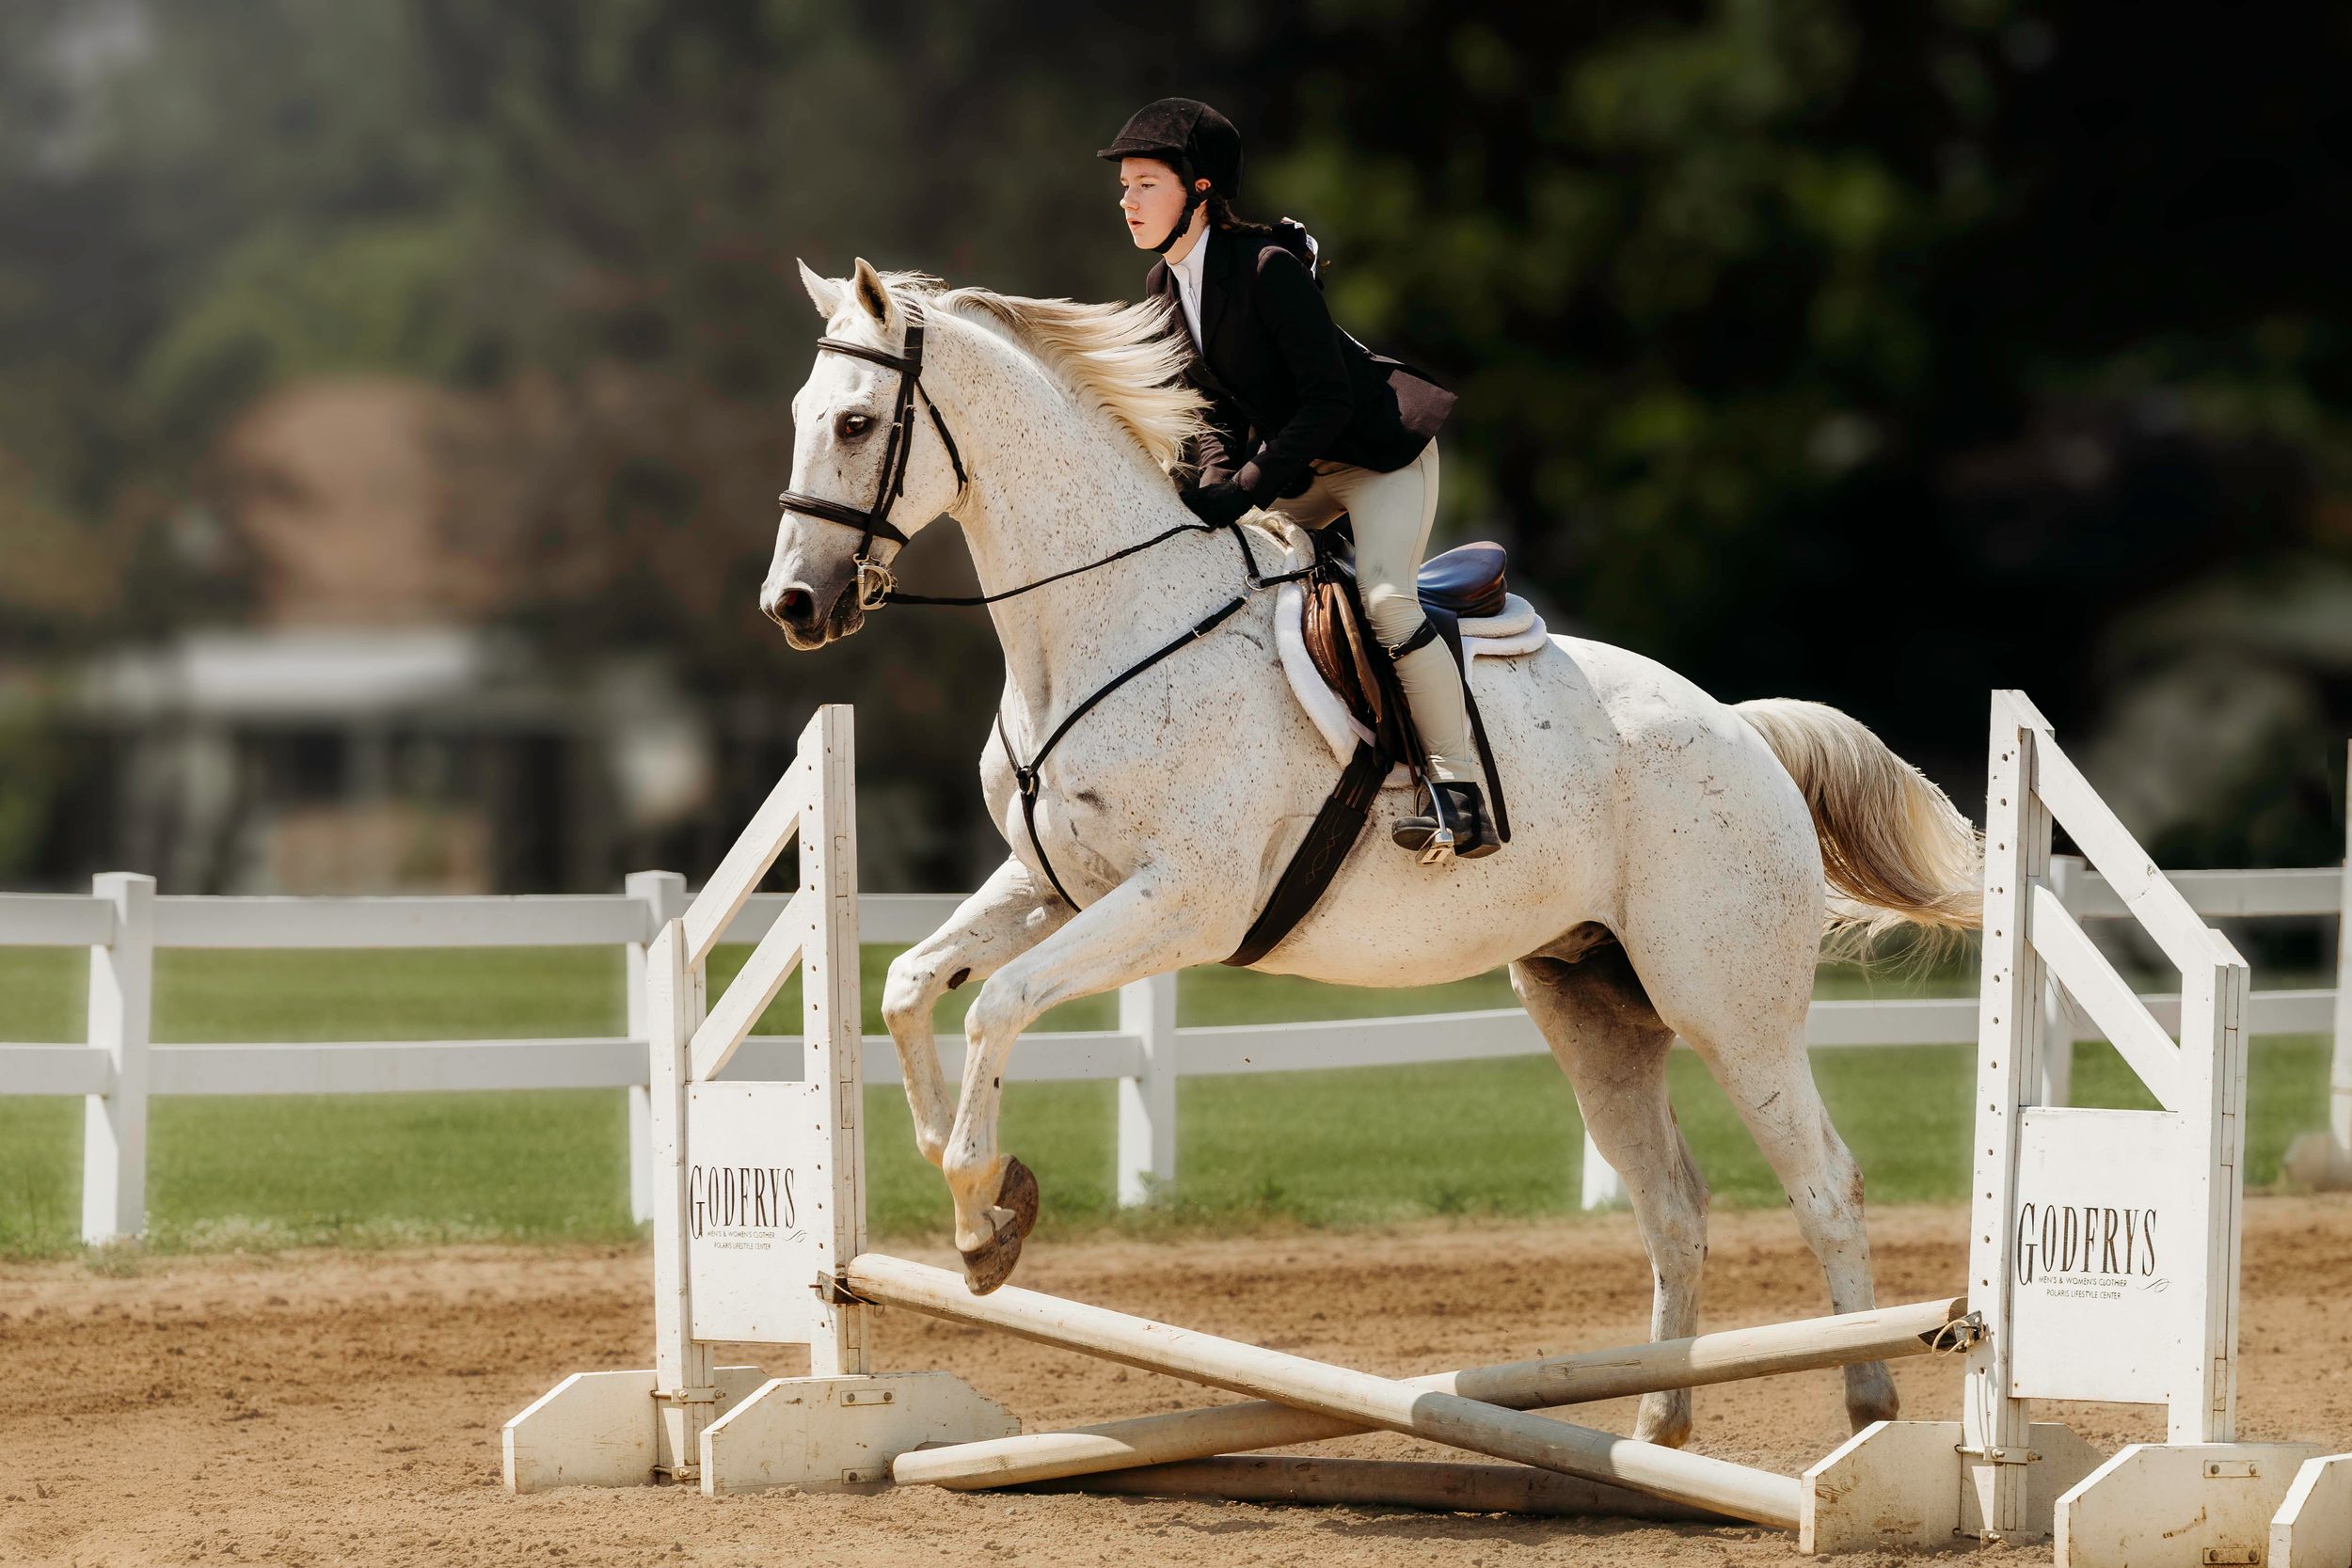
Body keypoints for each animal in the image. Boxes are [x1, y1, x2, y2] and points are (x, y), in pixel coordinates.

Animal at [761, 257, 1982, 1448]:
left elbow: (997, 1003)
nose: (795, 605)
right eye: (801, 415)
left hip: (1725, 1000)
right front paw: (972, 1185)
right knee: (1672, 1203)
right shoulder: (1056, 884)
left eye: (859, 422)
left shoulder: (1184, 900)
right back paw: (1656, 1418)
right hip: (1591, 1006)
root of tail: (1741, 726)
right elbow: (914, 984)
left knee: (1824, 1183)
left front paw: (983, 1220)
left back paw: (1868, 1412)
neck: (1102, 628)